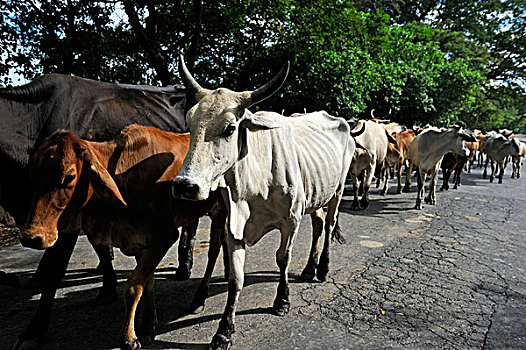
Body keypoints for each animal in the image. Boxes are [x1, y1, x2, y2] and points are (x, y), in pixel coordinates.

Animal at [14, 126, 228, 350]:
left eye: (69, 177)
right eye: (33, 174)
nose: (31, 237)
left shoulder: (164, 236)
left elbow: (133, 286)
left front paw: (129, 336)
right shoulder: (140, 242)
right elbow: (147, 283)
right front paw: (147, 325)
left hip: (219, 211)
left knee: (214, 250)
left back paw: (199, 298)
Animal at [173, 57, 358, 350]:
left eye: (229, 128)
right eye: (190, 125)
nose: (185, 185)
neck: (253, 183)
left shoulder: (291, 219)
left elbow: (283, 258)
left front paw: (282, 300)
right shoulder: (233, 224)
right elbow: (236, 277)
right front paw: (224, 330)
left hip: (337, 191)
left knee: (328, 226)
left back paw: (323, 269)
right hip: (316, 196)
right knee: (318, 226)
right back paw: (309, 269)